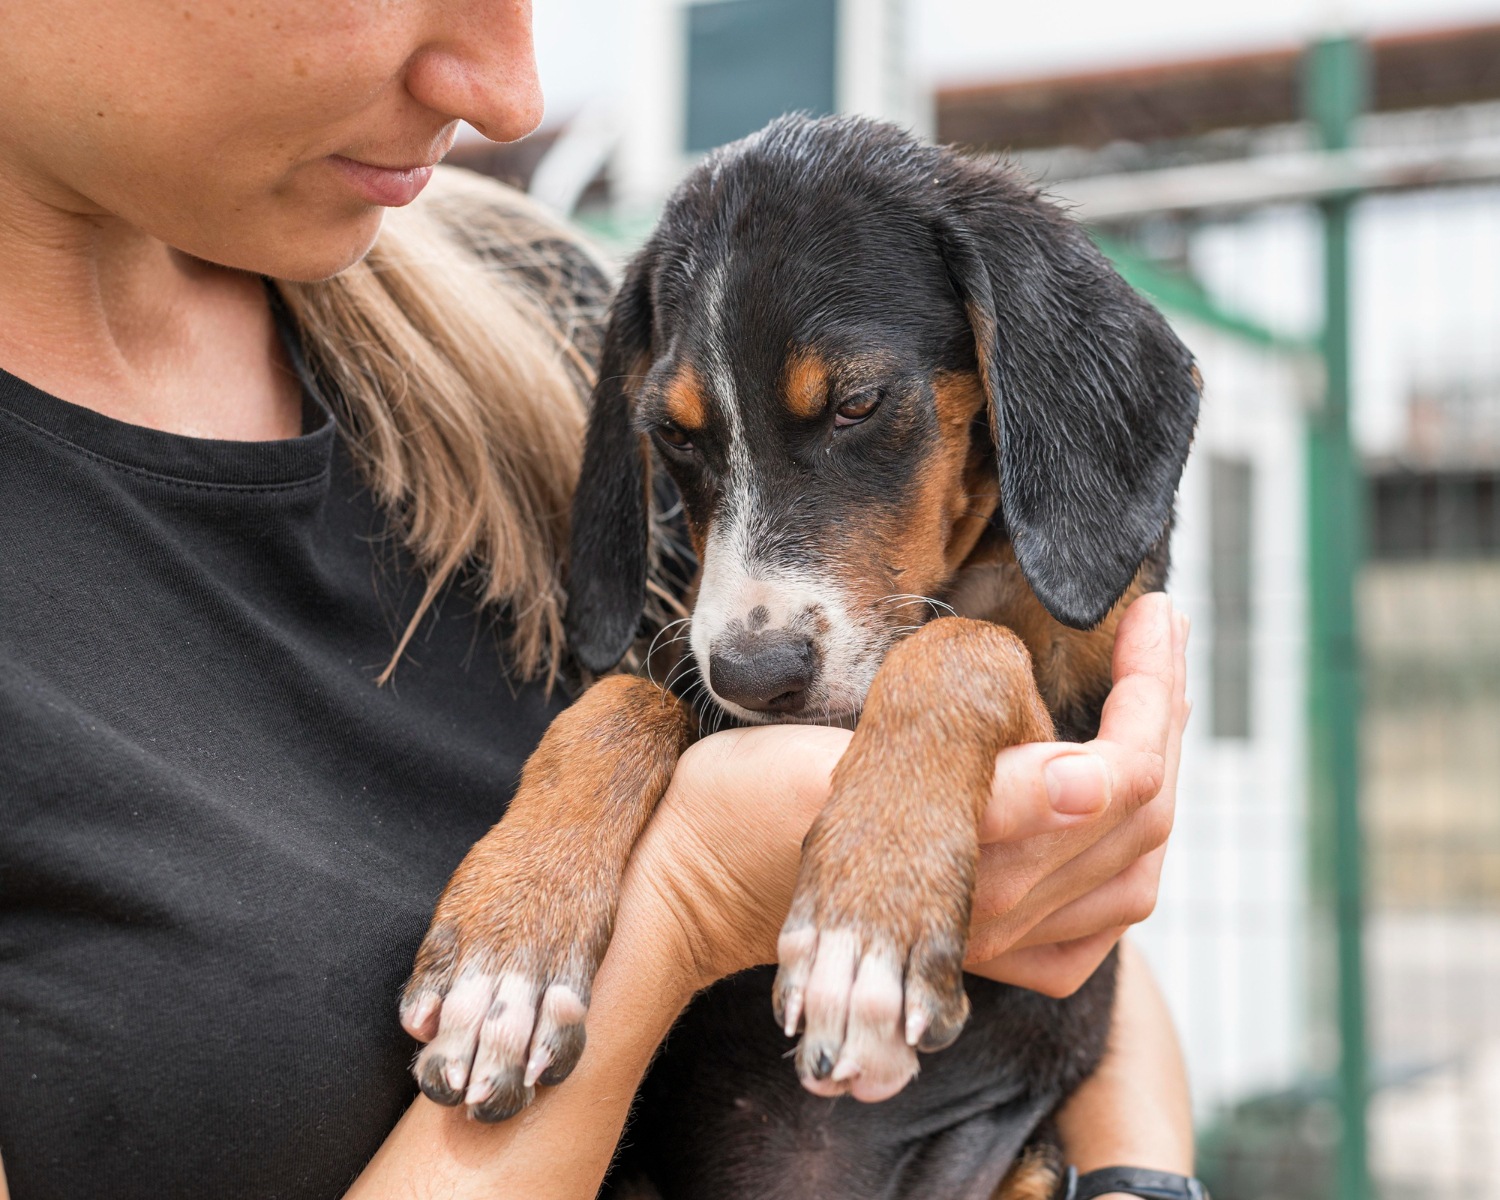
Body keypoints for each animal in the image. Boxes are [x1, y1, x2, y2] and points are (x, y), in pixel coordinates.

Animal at [399, 114, 1194, 1200]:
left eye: (858, 403)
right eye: (673, 436)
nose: (755, 676)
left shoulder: (1077, 724)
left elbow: (962, 645)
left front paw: (868, 922)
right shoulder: (686, 665)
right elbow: (618, 705)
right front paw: (504, 956)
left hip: (1028, 1167)